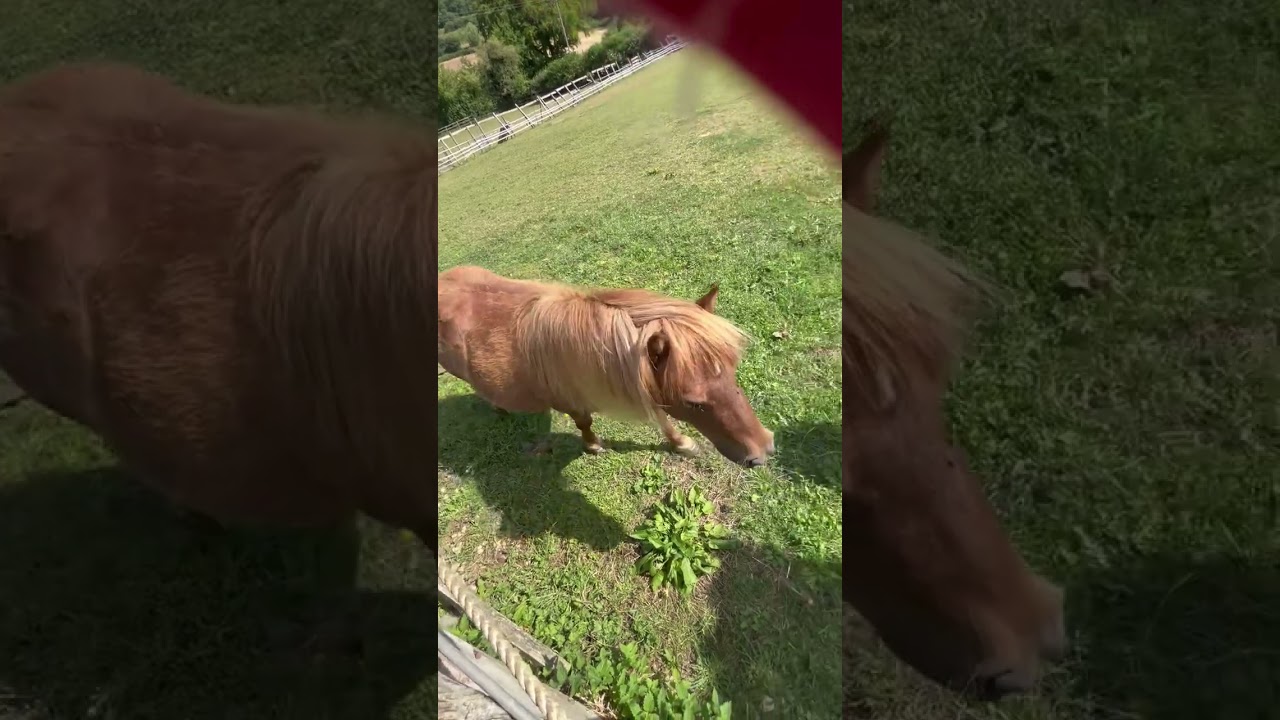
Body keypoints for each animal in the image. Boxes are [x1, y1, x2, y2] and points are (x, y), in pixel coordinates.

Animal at [437, 265, 776, 467]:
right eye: (694, 403)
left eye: (733, 369)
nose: (763, 450)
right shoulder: (571, 402)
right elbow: (584, 423)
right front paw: (593, 445)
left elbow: (663, 417)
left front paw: (682, 443)